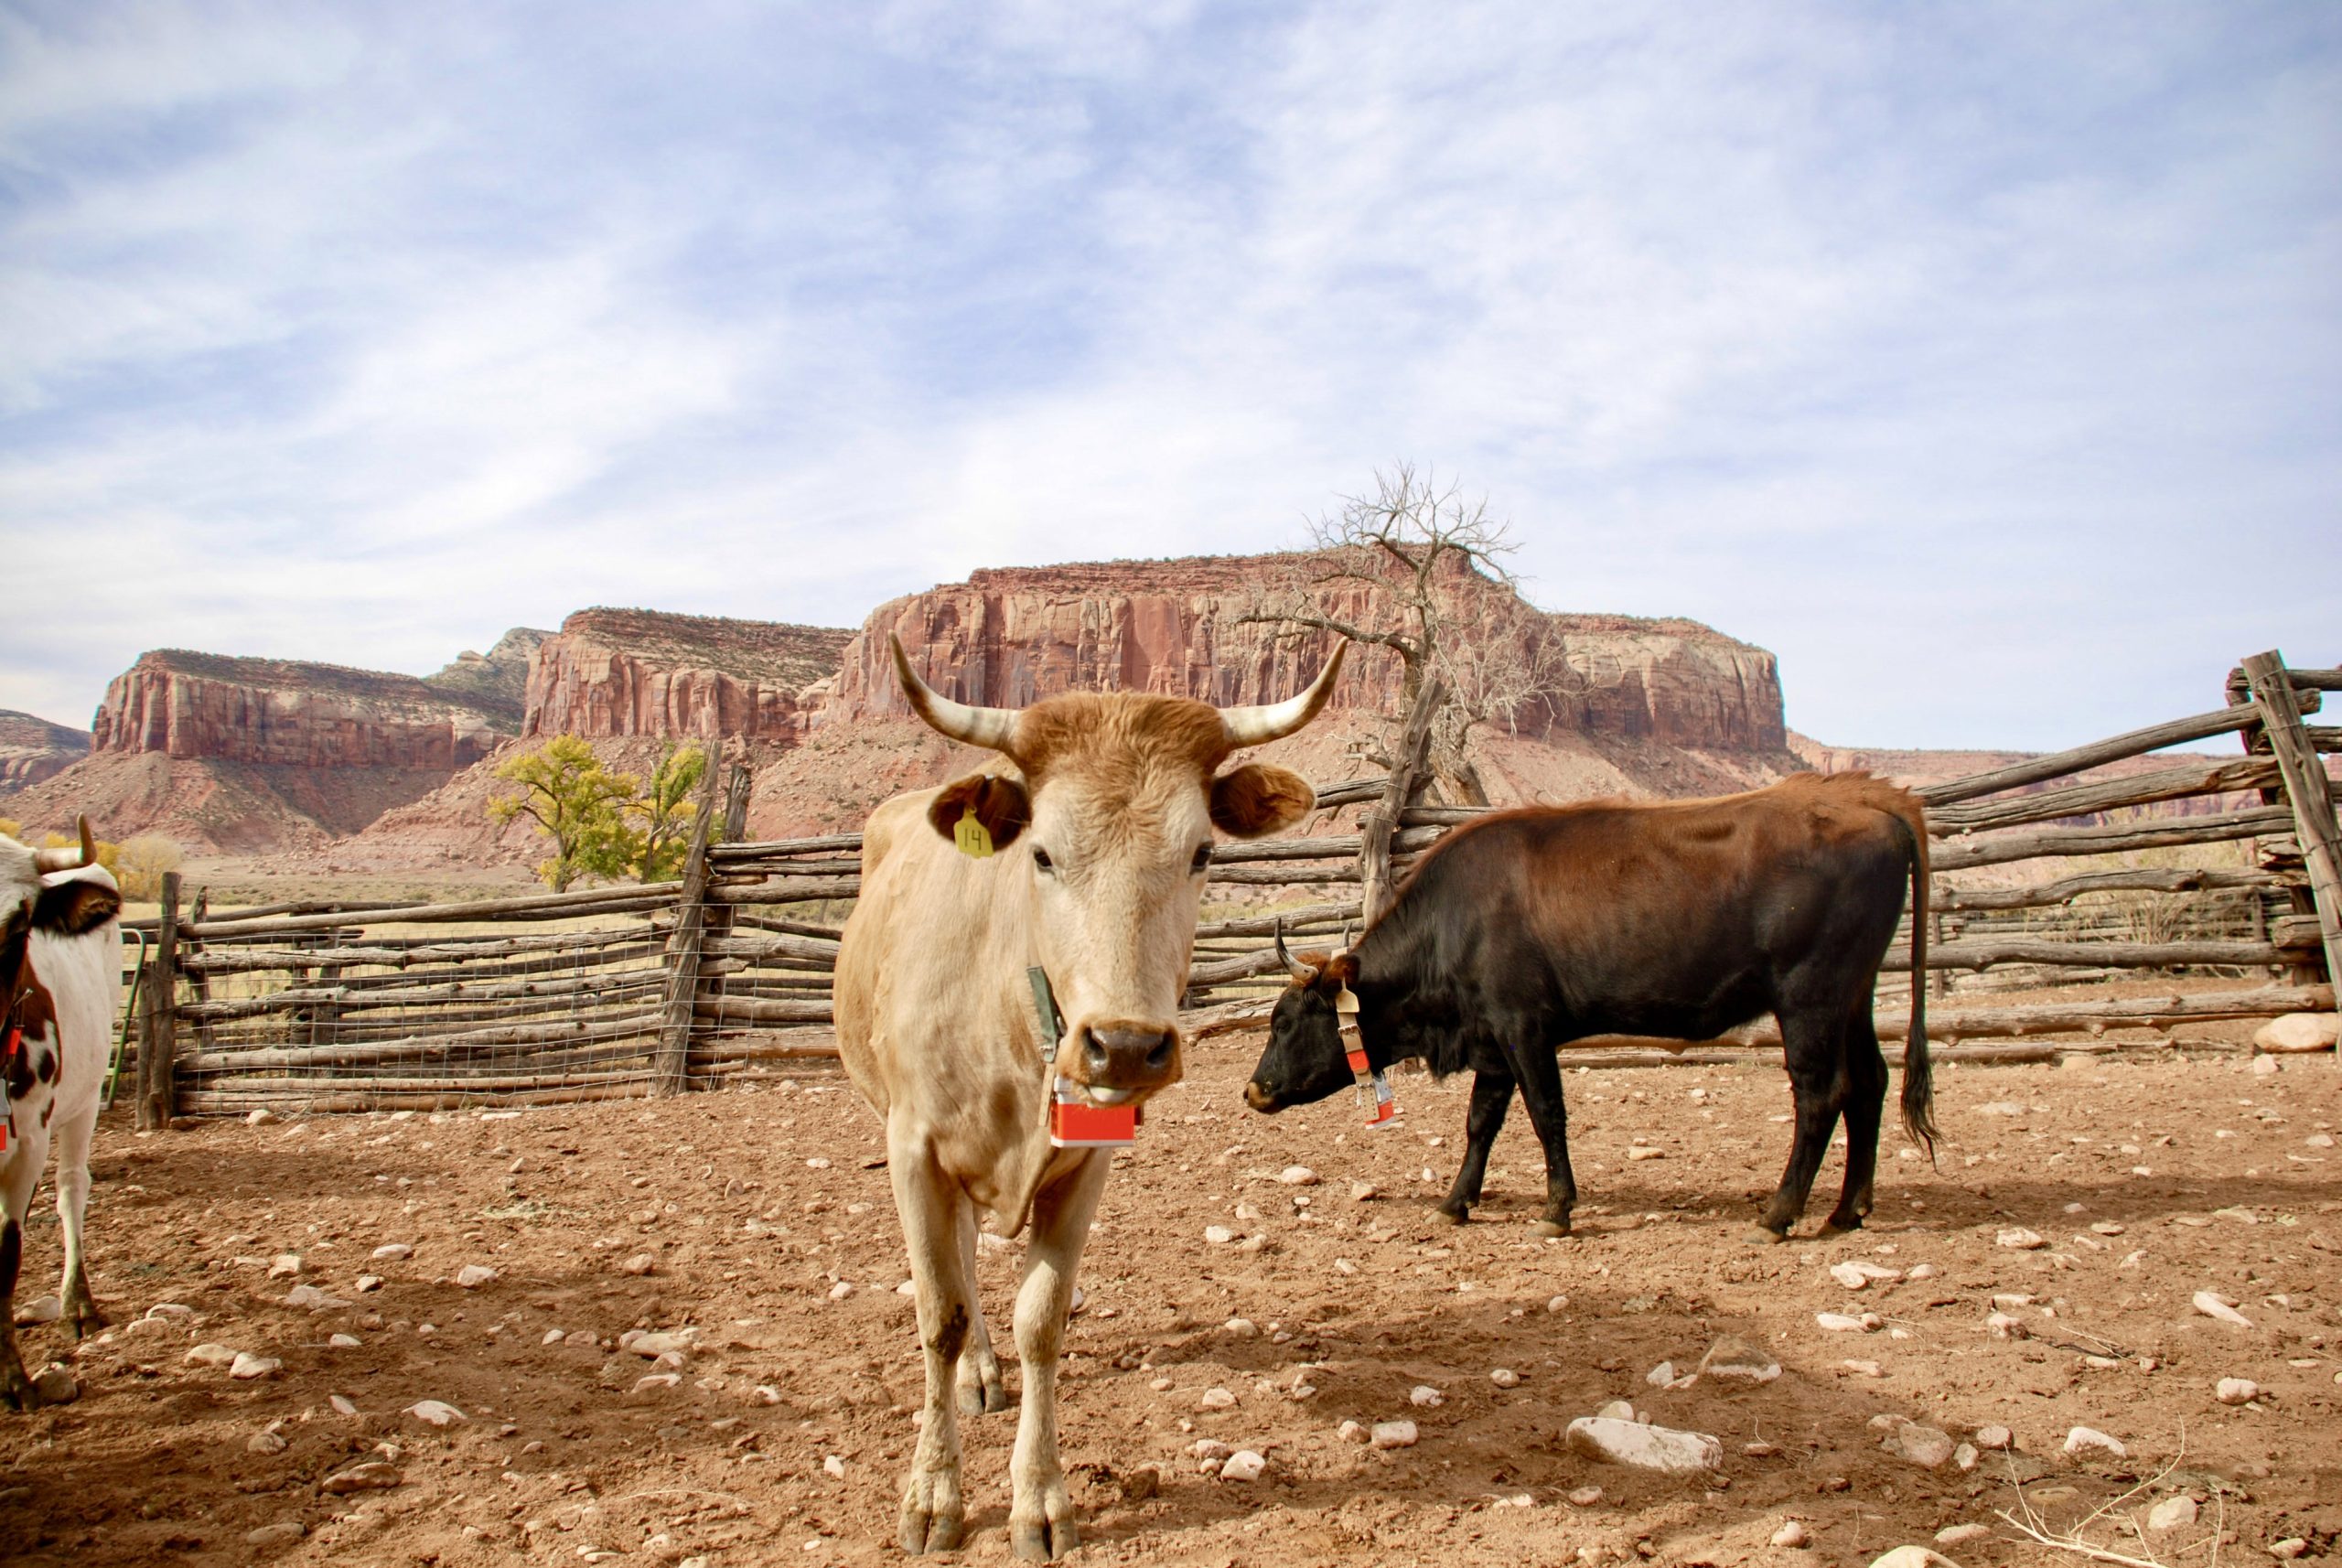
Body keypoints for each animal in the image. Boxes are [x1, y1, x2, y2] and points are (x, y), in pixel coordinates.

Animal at [838, 636, 1358, 1563]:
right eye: (1041, 853)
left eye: (1201, 854)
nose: (1123, 1045)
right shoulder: (912, 1150)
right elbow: (940, 1314)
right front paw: (933, 1492)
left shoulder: (1088, 1166)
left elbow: (1041, 1320)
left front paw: (1039, 1498)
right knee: (958, 1268)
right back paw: (973, 1377)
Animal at [1255, 772, 1929, 1244]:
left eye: (1286, 1021)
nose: (1253, 1090)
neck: (1456, 917)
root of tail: (1875, 804)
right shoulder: (1492, 1041)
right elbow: (1481, 1122)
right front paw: (1455, 1202)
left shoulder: (1524, 1028)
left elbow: (1546, 1115)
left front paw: (1557, 1209)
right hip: (1854, 998)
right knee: (1870, 1082)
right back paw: (1847, 1211)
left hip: (1809, 999)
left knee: (1821, 1095)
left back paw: (1779, 1214)